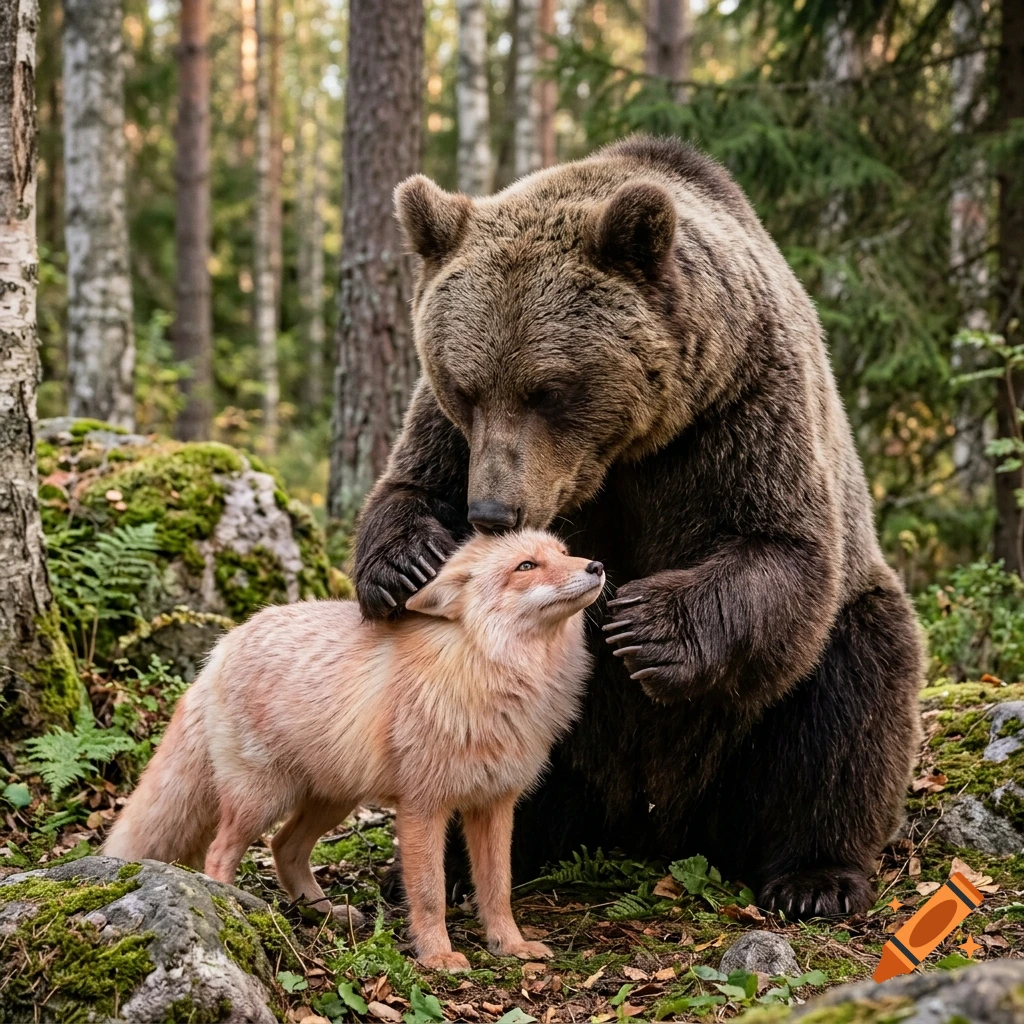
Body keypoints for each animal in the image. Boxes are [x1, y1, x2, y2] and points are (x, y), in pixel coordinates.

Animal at [104, 529, 604, 970]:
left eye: (564, 553)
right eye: (526, 566)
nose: (597, 566)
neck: (485, 671)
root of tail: (225, 643)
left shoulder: (496, 803)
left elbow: (498, 888)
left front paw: (509, 945)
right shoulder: (422, 806)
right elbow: (429, 893)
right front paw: (437, 956)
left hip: (332, 800)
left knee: (284, 847)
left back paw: (321, 913)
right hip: (261, 799)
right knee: (220, 852)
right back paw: (233, 910)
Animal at [351, 134, 923, 919]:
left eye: (548, 389)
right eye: (466, 387)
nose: (493, 511)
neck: (628, 450)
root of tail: (647, 825)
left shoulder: (742, 408)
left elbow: (785, 547)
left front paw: (644, 624)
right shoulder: (453, 438)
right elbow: (410, 484)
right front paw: (405, 563)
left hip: (765, 733)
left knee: (852, 694)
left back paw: (816, 876)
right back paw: (455, 865)